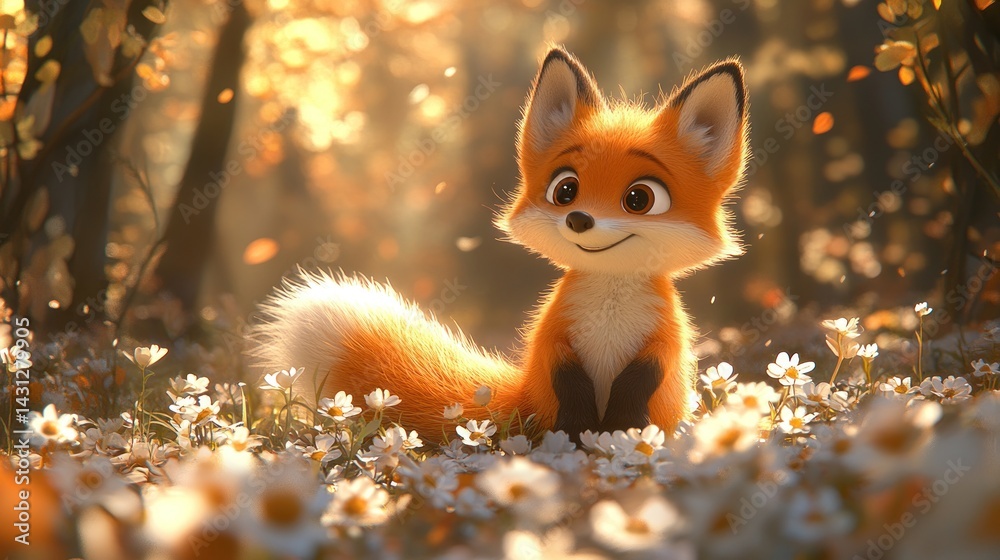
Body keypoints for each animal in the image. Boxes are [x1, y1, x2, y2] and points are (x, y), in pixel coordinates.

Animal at [249, 47, 749, 443]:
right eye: (566, 190)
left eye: (639, 198)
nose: (579, 220)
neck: (610, 304)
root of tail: (522, 394)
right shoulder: (554, 337)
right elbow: (565, 374)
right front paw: (580, 434)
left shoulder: (665, 339)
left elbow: (644, 376)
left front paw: (622, 432)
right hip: (541, 394)